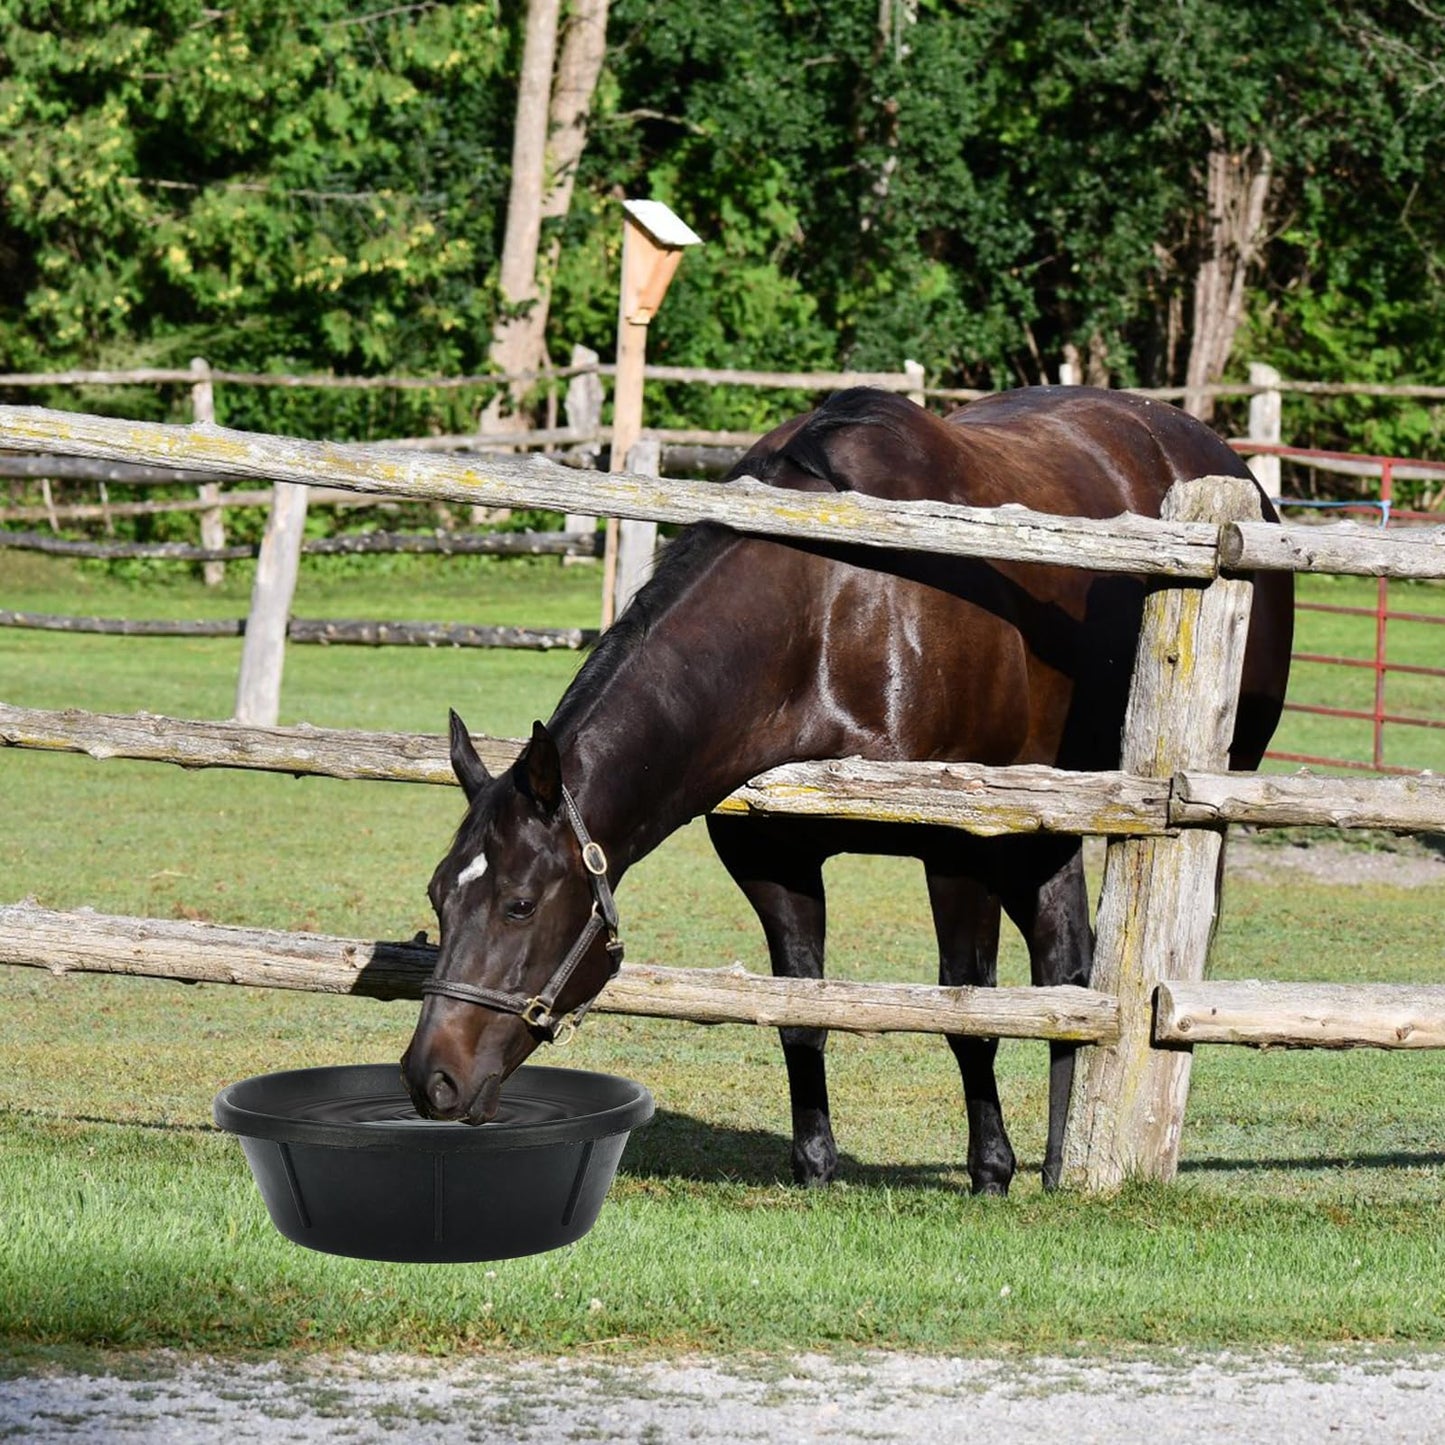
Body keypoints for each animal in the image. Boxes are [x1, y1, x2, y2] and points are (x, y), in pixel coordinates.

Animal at [401, 386, 1294, 1194]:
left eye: (519, 903)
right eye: (439, 895)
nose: (430, 1077)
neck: (831, 611)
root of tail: (1224, 467)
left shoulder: (957, 846)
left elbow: (967, 1012)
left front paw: (988, 1170)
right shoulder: (772, 857)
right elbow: (802, 1012)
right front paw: (815, 1165)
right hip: (1042, 829)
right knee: (1067, 969)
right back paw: (1058, 1159)